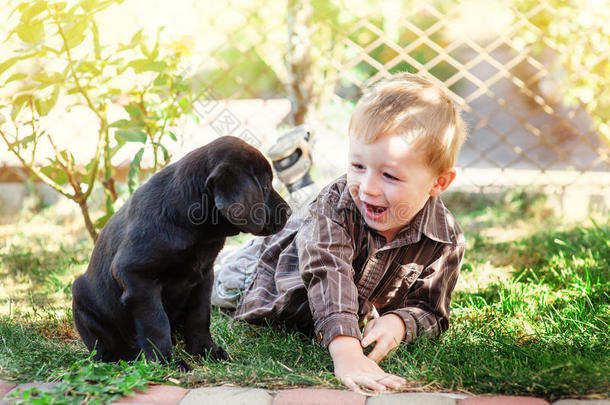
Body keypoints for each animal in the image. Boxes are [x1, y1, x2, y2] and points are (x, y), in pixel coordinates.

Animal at [71, 136, 290, 370]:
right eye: (265, 185)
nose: (289, 211)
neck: (197, 230)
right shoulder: (137, 277)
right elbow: (156, 323)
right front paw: (167, 362)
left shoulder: (204, 276)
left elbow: (199, 316)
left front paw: (206, 350)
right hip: (81, 298)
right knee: (103, 350)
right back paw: (129, 355)